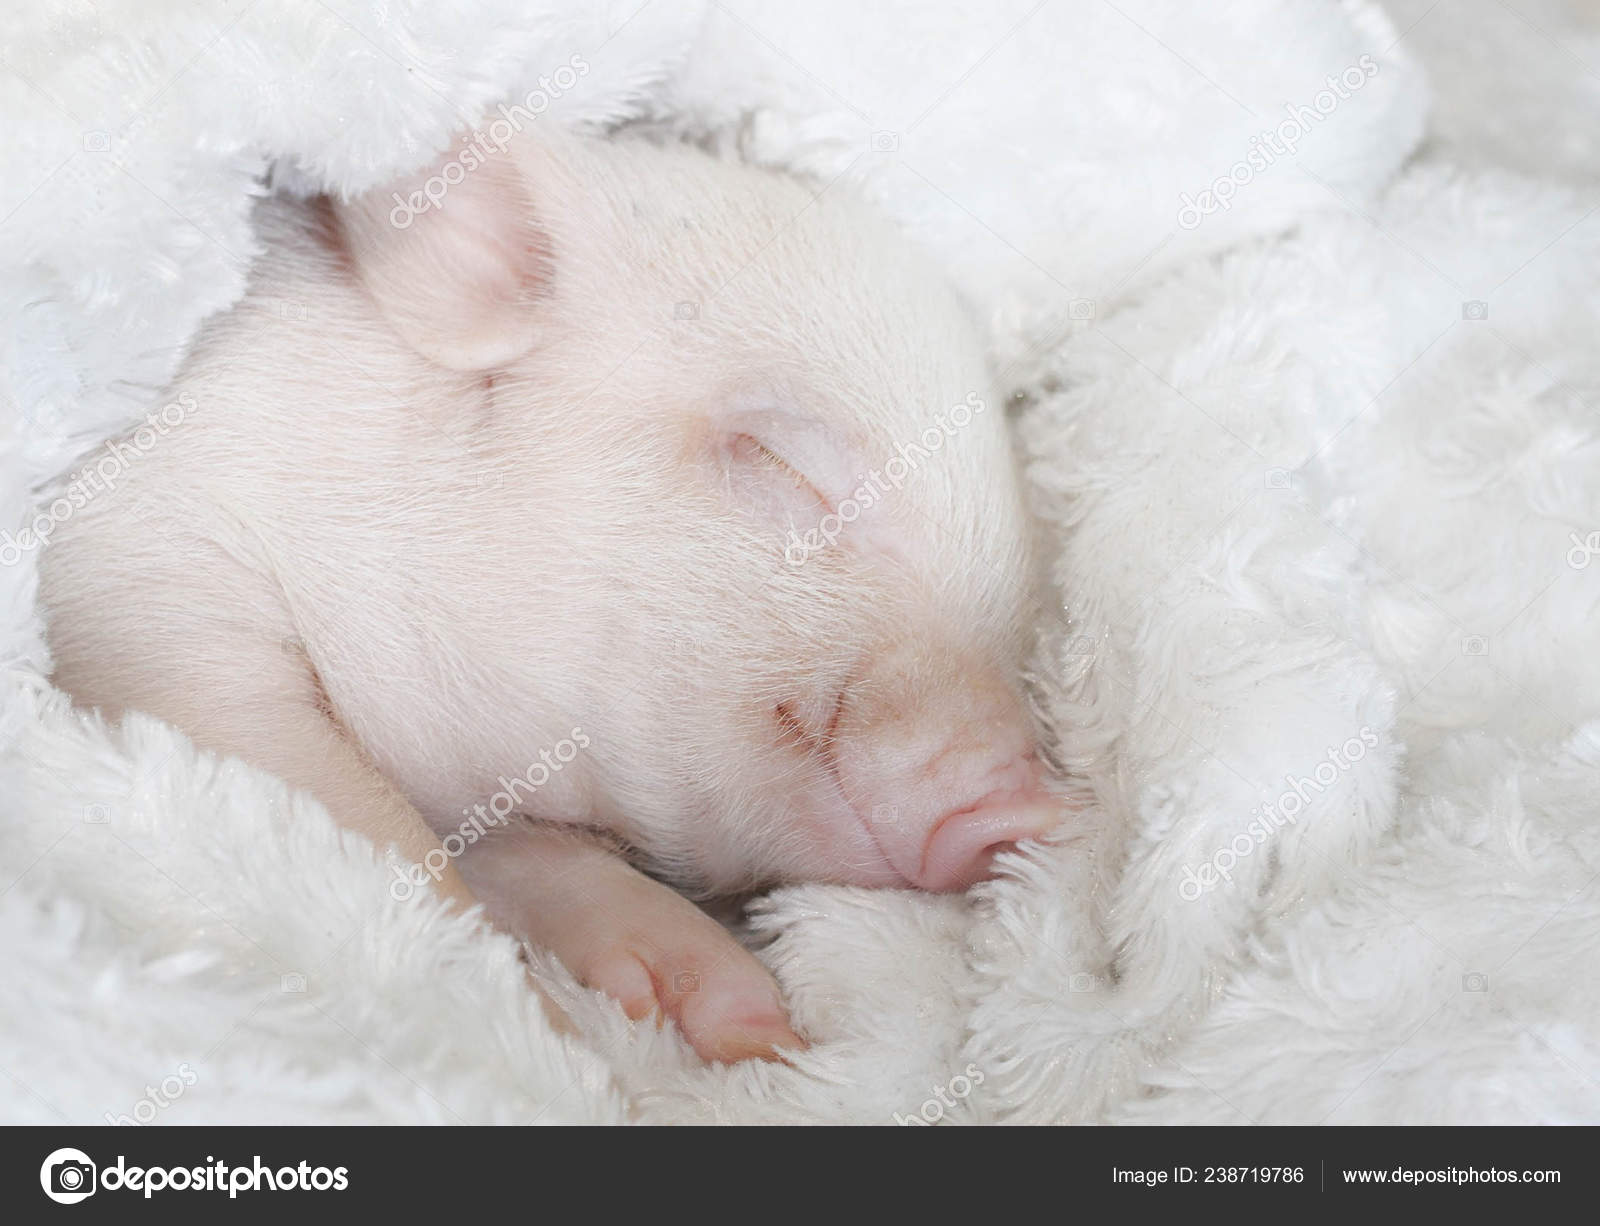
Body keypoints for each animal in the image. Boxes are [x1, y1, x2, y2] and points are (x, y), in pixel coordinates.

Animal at [37, 126, 1062, 1063]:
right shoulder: (139, 563)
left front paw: (751, 1034)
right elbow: (325, 803)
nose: (1026, 803)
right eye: (778, 458)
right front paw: (568, 1046)